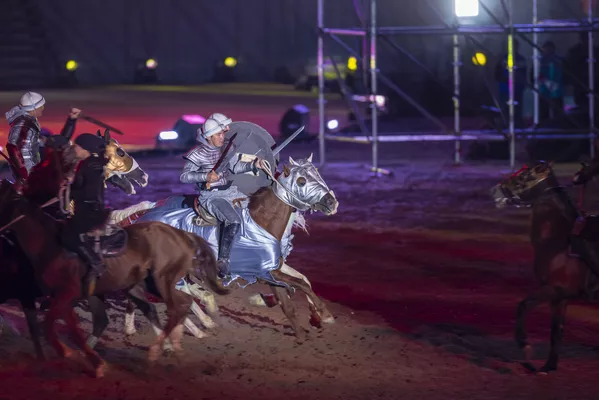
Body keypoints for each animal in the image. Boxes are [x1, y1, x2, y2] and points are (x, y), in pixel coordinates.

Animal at [112, 155, 339, 342]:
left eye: (317, 173)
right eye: (301, 181)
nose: (331, 202)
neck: (262, 221)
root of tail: (146, 215)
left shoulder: (271, 269)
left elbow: (295, 293)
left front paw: (306, 328)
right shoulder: (265, 271)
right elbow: (299, 286)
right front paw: (324, 315)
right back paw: (196, 329)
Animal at [491, 161, 599, 373]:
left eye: (524, 176)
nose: (495, 191)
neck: (558, 241)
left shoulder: (554, 289)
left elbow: (524, 305)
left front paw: (525, 345)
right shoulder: (560, 298)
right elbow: (556, 331)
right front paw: (549, 366)